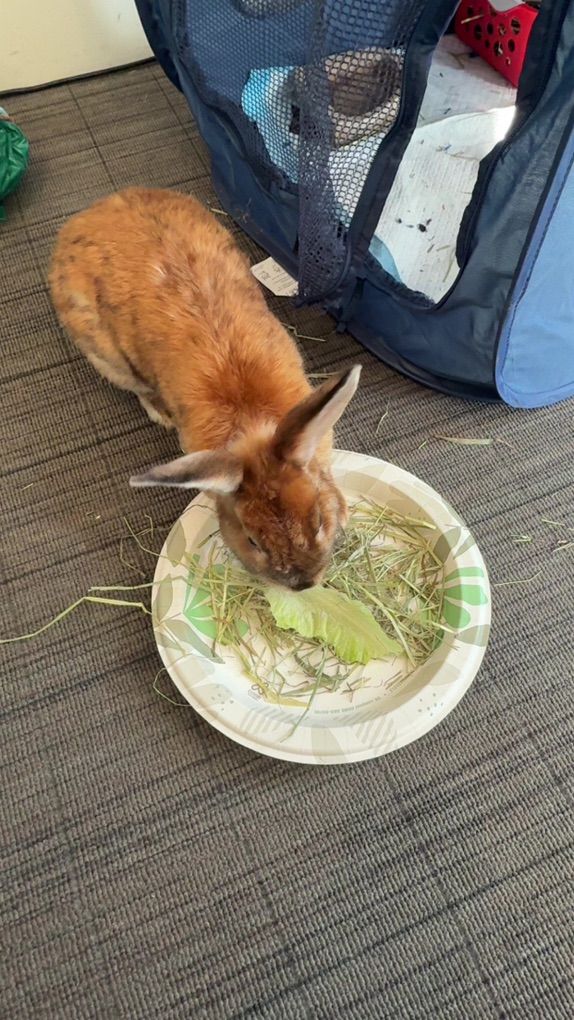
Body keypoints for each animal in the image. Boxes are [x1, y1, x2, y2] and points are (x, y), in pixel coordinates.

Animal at [49, 187, 361, 590]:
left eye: (319, 520)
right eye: (252, 541)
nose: (303, 583)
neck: (250, 420)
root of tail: (82, 219)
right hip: (108, 357)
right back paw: (160, 412)